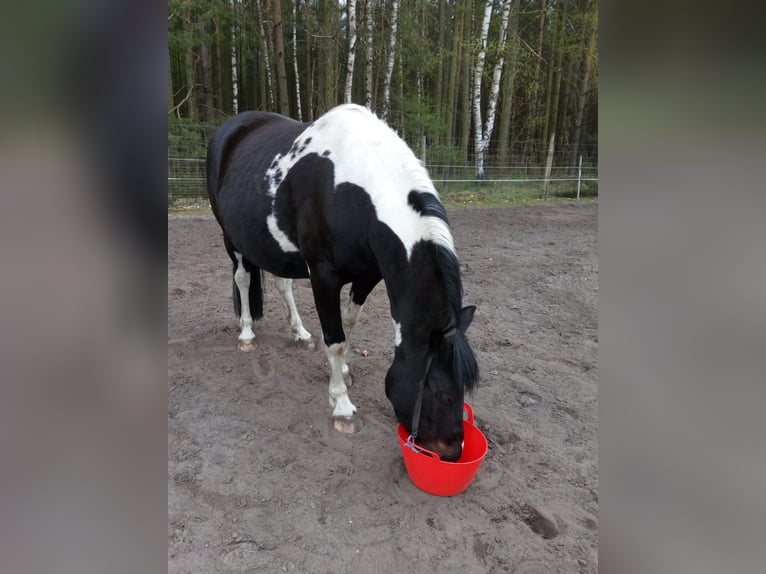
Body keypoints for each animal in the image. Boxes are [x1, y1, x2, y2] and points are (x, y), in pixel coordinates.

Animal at [206, 103, 478, 461]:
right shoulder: (323, 277)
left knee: (282, 284)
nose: (452, 453)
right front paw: (342, 407)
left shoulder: (368, 275)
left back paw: (300, 333)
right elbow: (334, 339)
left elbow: (349, 325)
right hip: (231, 238)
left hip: (274, 246)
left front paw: (344, 372)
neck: (350, 190)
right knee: (242, 277)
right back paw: (247, 334)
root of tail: (229, 128)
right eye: (444, 393)